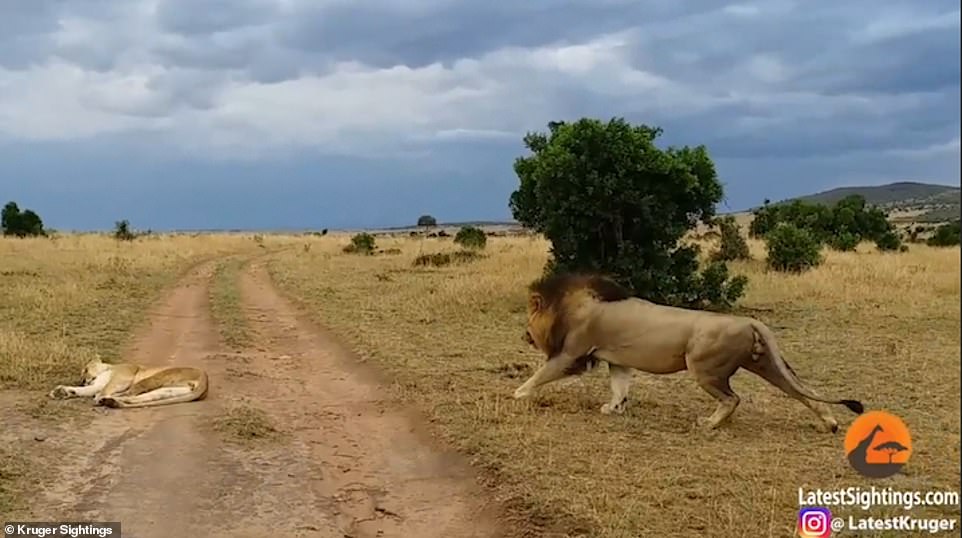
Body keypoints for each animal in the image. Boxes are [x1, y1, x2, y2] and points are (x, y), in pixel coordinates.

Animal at [48, 356, 208, 406]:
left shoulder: (122, 377)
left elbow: (104, 388)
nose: (82, 380)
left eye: (85, 370)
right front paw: (63, 391)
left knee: (130, 393)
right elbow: (85, 390)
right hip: (166, 391)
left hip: (154, 378)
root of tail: (205, 380)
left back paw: (105, 400)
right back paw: (111, 401)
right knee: (137, 397)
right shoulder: (97, 384)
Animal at [512, 272, 868, 432]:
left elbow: (541, 373)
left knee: (733, 398)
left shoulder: (572, 353)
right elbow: (619, 388)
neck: (568, 306)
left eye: (528, 321)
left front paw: (518, 394)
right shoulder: (618, 361)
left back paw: (709, 424)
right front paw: (613, 409)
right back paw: (830, 423)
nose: (524, 335)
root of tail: (750, 320)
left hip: (704, 368)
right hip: (764, 363)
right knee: (803, 392)